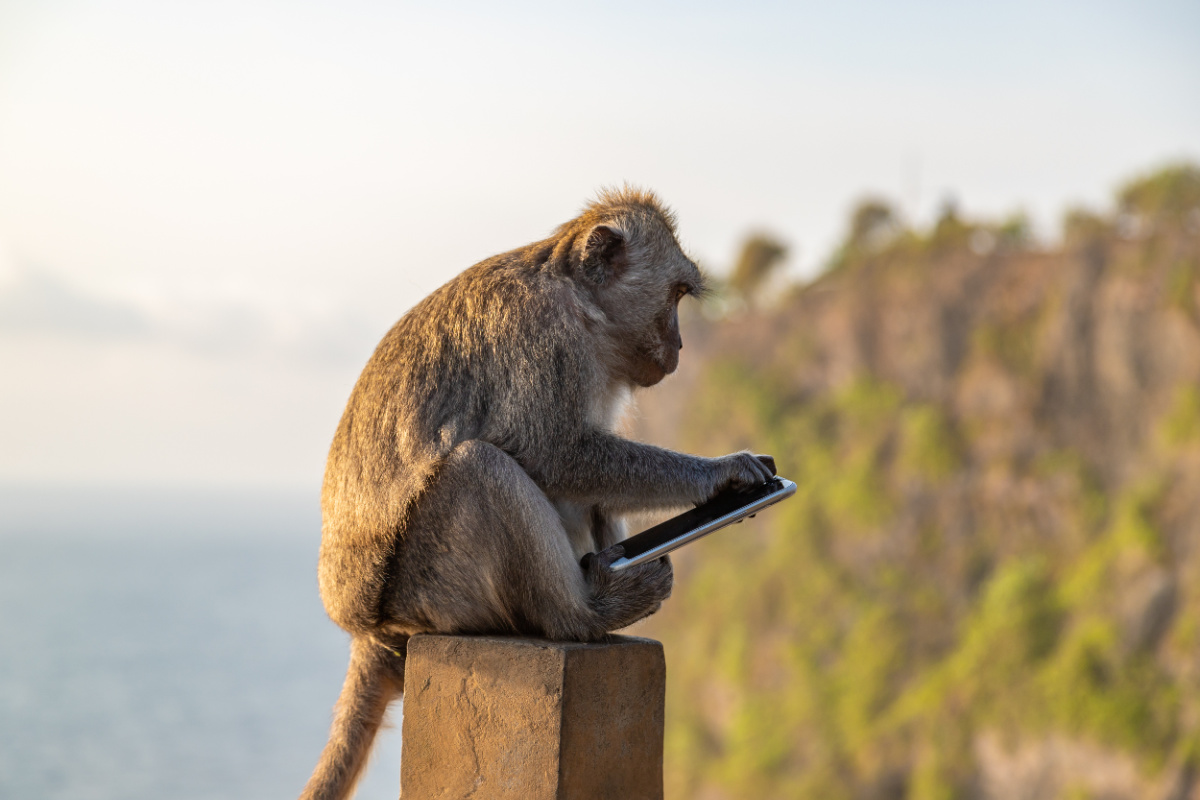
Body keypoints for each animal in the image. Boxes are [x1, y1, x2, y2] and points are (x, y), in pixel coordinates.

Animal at [300, 188, 776, 800]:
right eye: (674, 295)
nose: (679, 344)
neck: (578, 302)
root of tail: (368, 631)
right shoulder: (546, 342)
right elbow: (553, 452)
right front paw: (721, 476)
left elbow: (587, 481)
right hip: (429, 591)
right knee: (478, 468)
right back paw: (579, 615)